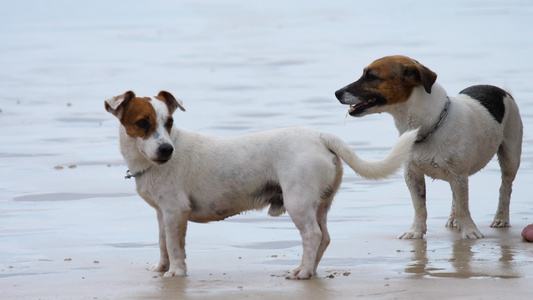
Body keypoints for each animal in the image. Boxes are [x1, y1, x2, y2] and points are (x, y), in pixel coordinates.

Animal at [106, 89, 418, 278]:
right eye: (142, 123)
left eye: (169, 122)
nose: (166, 150)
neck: (148, 163)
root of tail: (319, 136)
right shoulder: (163, 214)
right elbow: (162, 243)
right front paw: (161, 268)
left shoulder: (175, 212)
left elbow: (174, 245)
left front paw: (175, 273)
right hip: (320, 203)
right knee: (324, 236)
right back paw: (310, 269)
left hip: (297, 202)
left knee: (312, 235)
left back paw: (303, 273)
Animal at [334, 55, 520, 239]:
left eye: (371, 76)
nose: (336, 93)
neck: (428, 126)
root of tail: (501, 91)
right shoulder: (412, 174)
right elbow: (420, 207)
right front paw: (415, 230)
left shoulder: (458, 175)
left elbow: (463, 205)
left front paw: (469, 230)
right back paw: (454, 219)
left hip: (510, 157)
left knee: (505, 188)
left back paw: (501, 218)